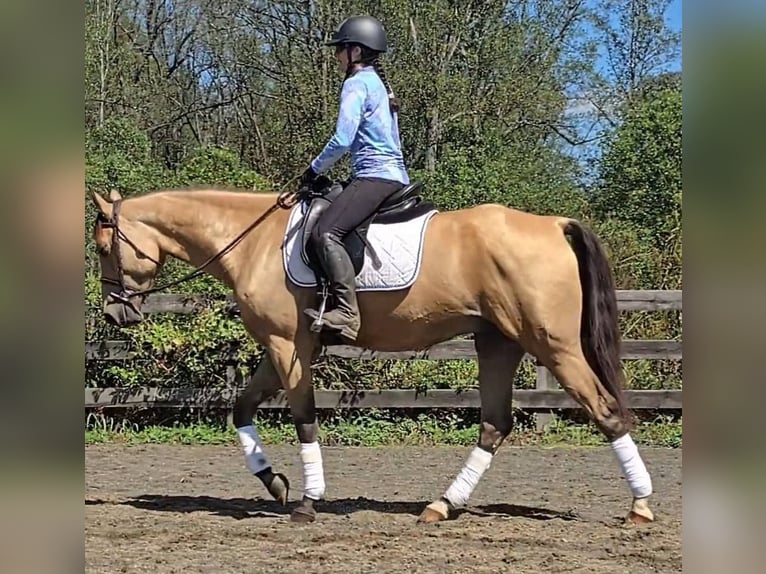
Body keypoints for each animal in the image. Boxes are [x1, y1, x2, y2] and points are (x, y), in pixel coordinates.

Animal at [88, 184, 656, 526]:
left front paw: (308, 501)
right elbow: (242, 408)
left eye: (102, 246)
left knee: (605, 410)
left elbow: (304, 418)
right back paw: (441, 506)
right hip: (499, 343)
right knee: (495, 425)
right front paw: (275, 484)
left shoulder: (288, 346)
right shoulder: (279, 347)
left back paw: (641, 506)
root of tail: (554, 223)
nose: (115, 314)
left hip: (552, 345)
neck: (252, 242)